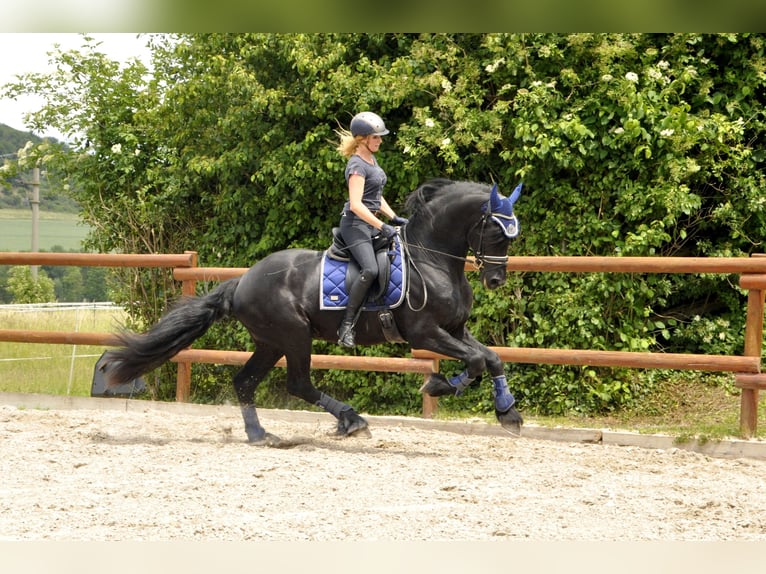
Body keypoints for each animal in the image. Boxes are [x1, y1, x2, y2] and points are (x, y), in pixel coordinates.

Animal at [101, 178, 524, 442]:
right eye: (497, 230)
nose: (495, 281)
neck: (431, 259)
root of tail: (243, 280)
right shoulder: (425, 333)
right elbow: (476, 361)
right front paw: (437, 385)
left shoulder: (454, 329)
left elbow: (491, 358)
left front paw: (509, 414)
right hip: (294, 336)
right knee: (298, 384)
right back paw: (352, 421)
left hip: (271, 342)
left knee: (245, 382)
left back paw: (260, 435)